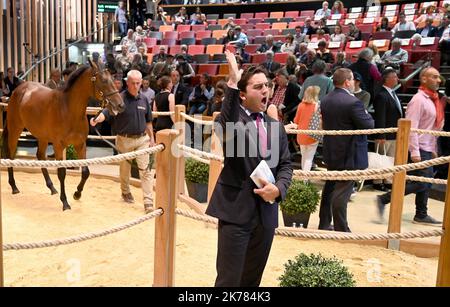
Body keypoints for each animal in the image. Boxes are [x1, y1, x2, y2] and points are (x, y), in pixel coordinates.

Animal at [2, 62, 125, 212]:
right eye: (103, 80)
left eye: (113, 79)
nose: (120, 105)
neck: (69, 109)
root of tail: (18, 90)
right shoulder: (58, 145)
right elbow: (61, 172)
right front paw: (65, 202)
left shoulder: (80, 144)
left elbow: (85, 172)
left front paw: (77, 194)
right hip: (16, 130)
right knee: (10, 155)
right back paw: (14, 187)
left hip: (42, 137)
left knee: (40, 156)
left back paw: (52, 188)